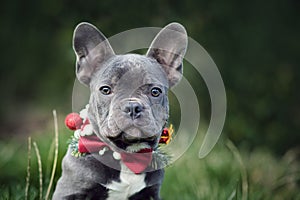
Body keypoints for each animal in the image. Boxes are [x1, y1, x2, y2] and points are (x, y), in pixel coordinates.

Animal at [52, 21, 186, 200]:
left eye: (155, 92)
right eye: (105, 90)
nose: (132, 107)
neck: (127, 155)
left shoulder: (150, 193)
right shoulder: (70, 191)